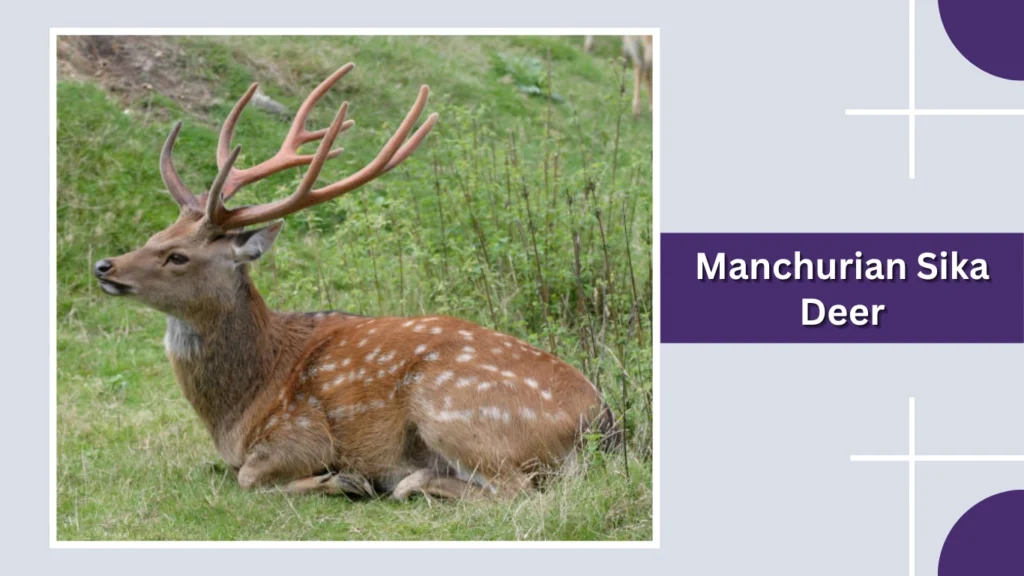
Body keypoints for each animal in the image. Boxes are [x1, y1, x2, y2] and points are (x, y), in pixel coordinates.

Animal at [92, 63, 619, 501]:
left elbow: (250, 476)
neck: (239, 406)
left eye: (177, 256)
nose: (104, 266)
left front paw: (342, 480)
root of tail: (602, 423)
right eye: (155, 235)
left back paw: (404, 481)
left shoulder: (302, 431)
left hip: (455, 408)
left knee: (519, 493)